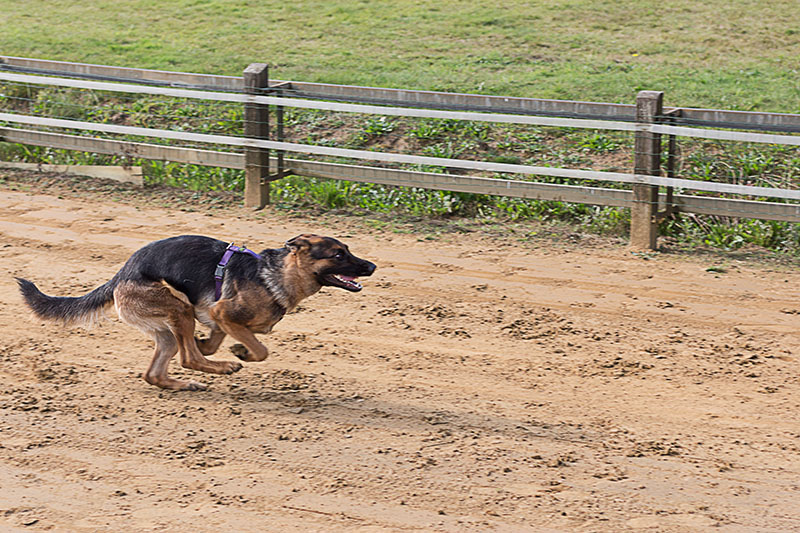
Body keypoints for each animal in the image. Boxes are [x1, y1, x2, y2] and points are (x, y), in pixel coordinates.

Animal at [16, 233, 378, 390]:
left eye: (348, 250)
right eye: (338, 254)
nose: (372, 266)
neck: (275, 274)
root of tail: (120, 274)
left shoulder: (218, 319)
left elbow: (218, 342)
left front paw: (218, 347)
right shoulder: (223, 313)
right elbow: (259, 348)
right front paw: (240, 353)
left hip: (168, 328)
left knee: (156, 371)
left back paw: (183, 382)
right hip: (179, 307)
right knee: (186, 358)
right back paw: (221, 368)